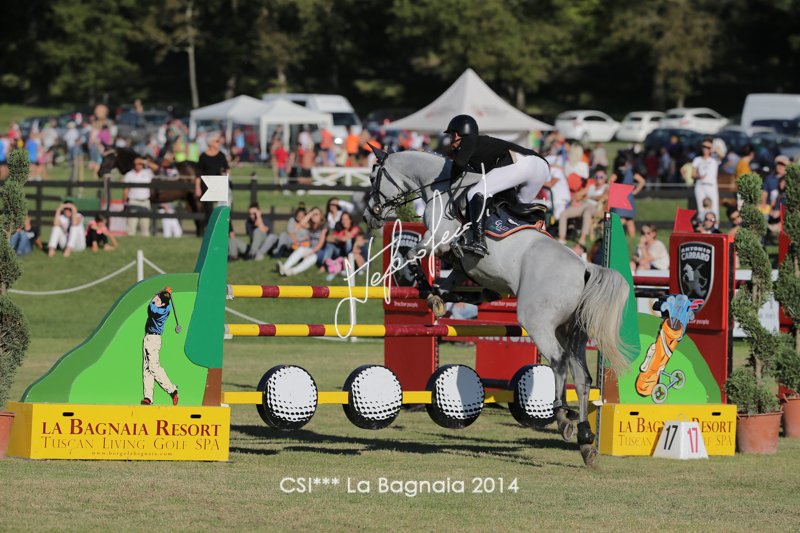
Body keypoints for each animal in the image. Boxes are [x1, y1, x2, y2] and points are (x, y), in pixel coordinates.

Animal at [363, 149, 632, 467]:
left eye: (373, 177)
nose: (369, 215)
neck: (442, 185)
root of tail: (585, 269)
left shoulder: (435, 240)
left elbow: (410, 255)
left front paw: (430, 296)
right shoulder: (461, 262)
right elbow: (449, 279)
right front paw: (441, 297)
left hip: (538, 322)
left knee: (558, 362)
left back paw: (563, 419)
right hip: (572, 333)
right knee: (582, 379)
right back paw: (586, 441)